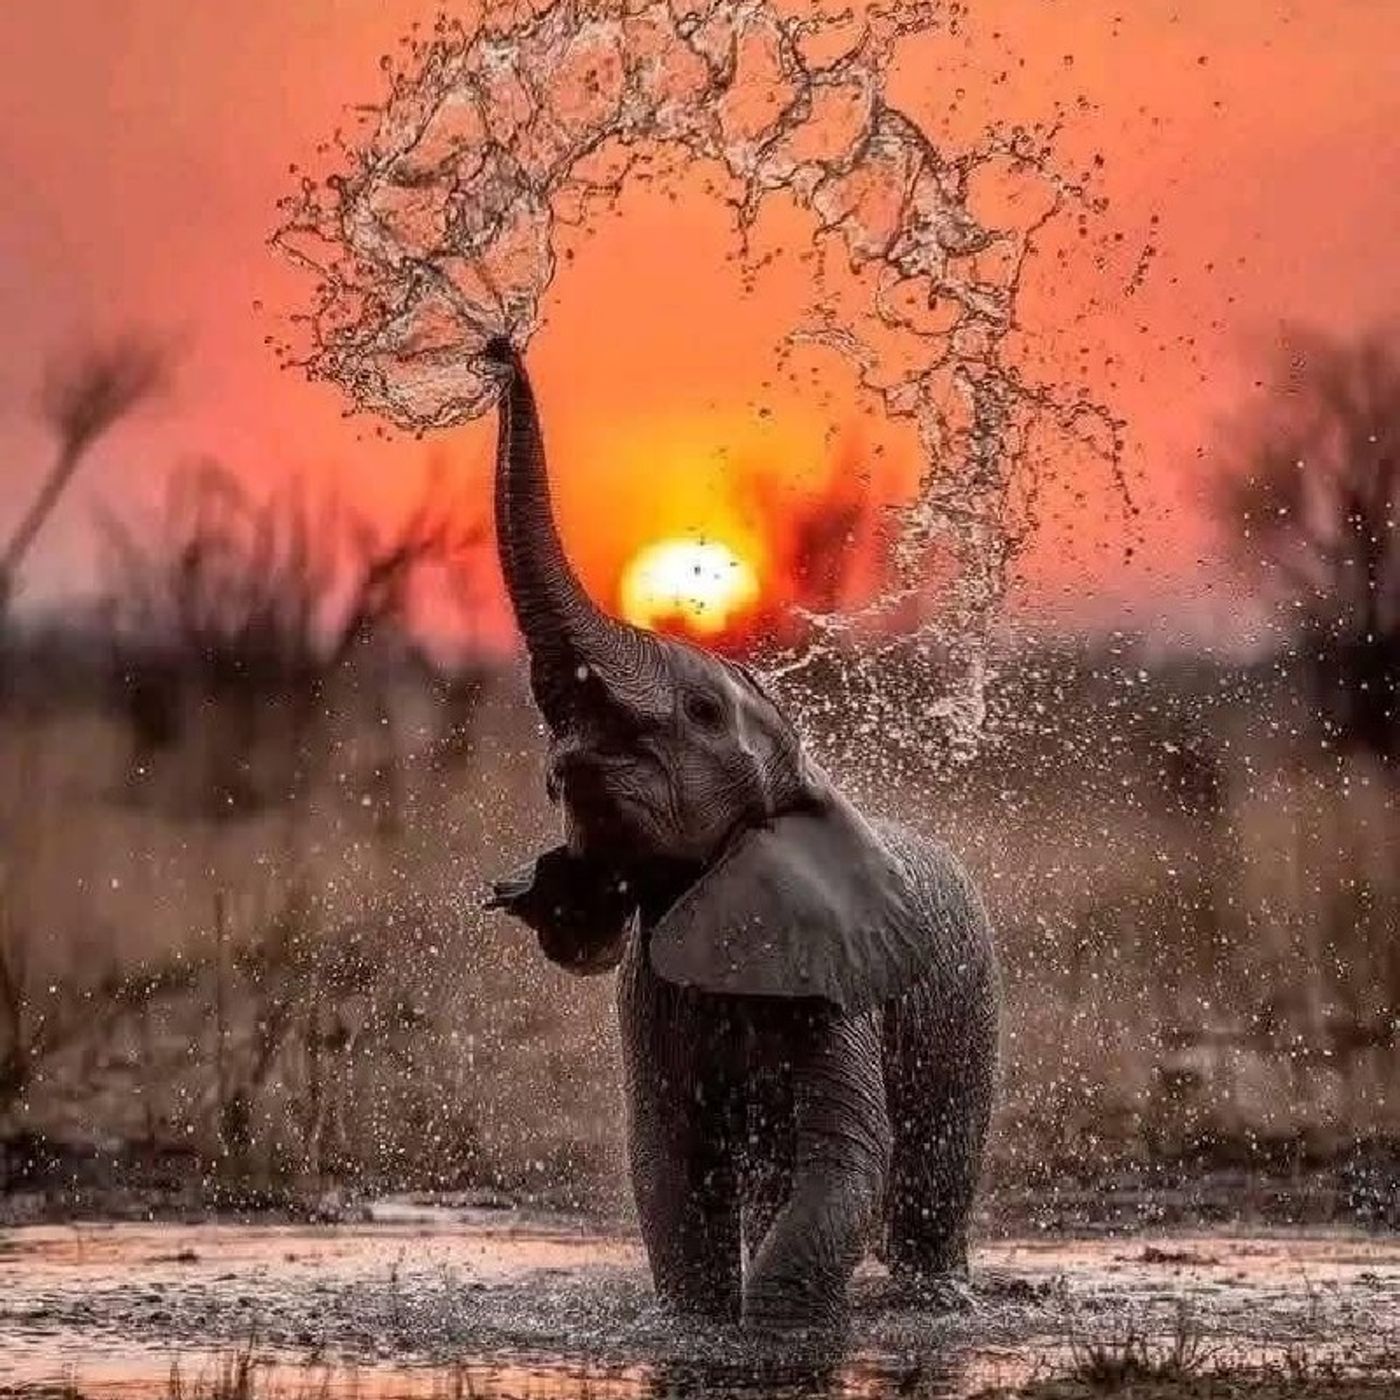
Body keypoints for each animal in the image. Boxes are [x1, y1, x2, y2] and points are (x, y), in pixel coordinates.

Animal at [481, 336, 999, 1334]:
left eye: (700, 711)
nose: (499, 346)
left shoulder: (842, 980)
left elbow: (847, 1154)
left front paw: (778, 1327)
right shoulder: (652, 994)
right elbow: (669, 1164)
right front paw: (700, 1326)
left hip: (968, 998)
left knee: (934, 1163)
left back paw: (934, 1300)